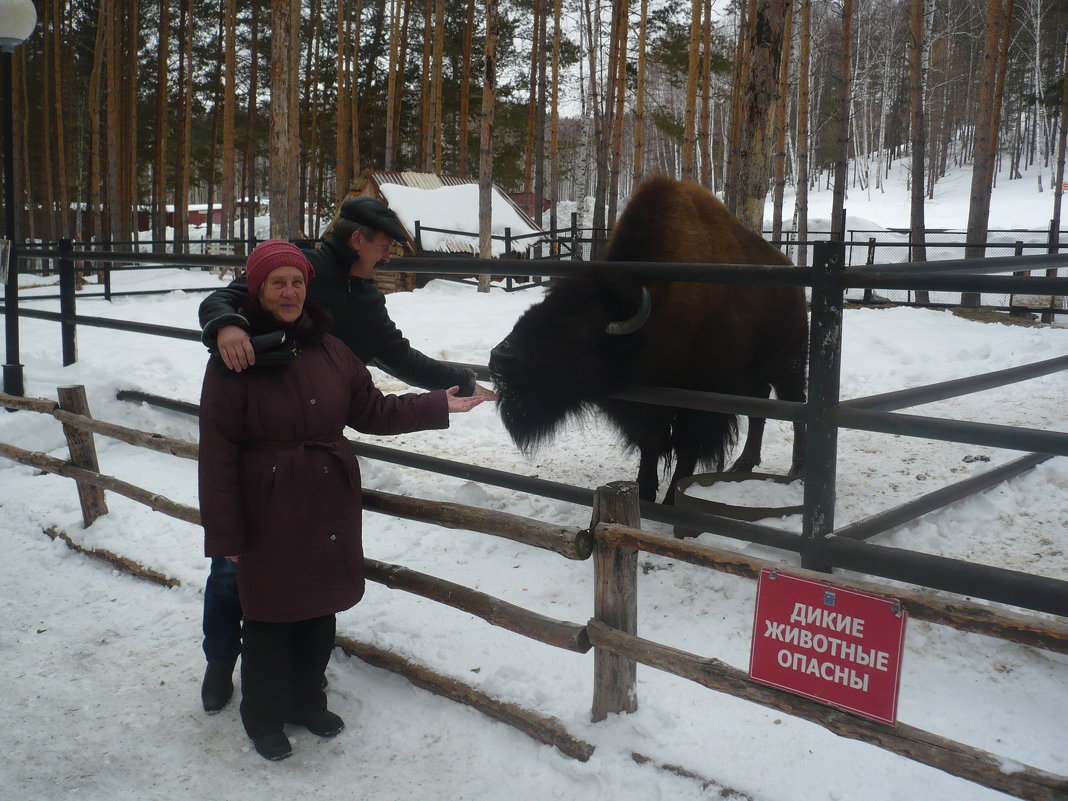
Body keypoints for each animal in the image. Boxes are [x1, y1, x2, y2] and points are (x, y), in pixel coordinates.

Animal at [489, 177, 803, 501]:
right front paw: (644, 492)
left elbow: (687, 449)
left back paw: (796, 470)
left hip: (788, 366)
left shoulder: (702, 404)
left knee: (795, 409)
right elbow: (649, 445)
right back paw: (744, 463)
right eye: (536, 309)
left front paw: (670, 499)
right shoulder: (643, 407)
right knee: (759, 411)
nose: (500, 358)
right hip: (756, 377)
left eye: (574, 330)